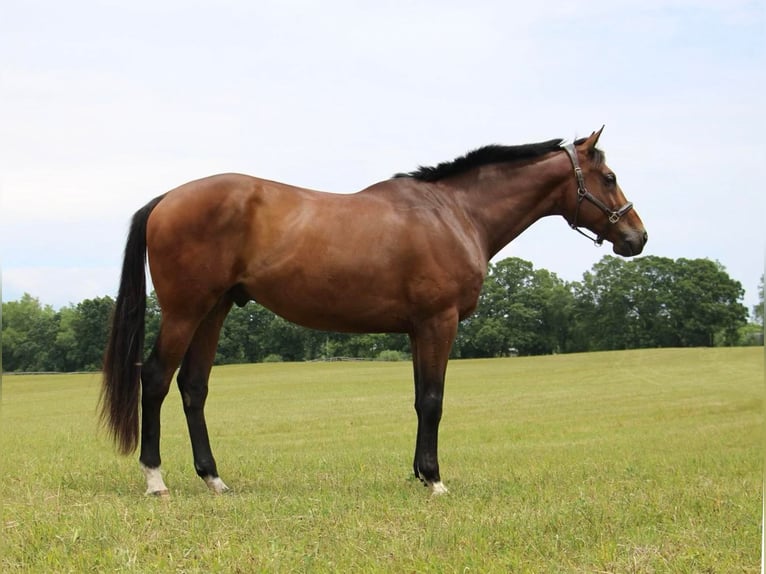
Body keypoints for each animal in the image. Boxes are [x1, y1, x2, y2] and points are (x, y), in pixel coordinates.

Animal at [99, 128, 644, 498]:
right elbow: (434, 401)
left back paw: (214, 479)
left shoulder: (417, 330)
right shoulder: (438, 322)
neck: (453, 213)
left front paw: (419, 474)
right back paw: (155, 479)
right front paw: (436, 481)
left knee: (194, 387)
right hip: (185, 311)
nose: (637, 236)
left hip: (213, 311)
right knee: (155, 378)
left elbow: (419, 400)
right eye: (610, 177)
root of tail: (167, 199)